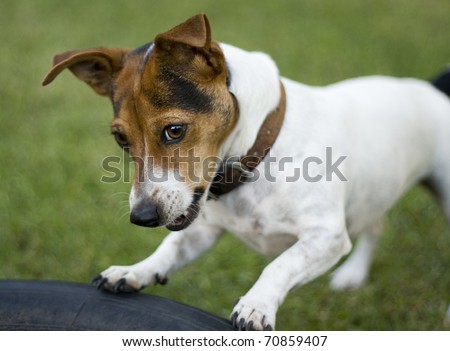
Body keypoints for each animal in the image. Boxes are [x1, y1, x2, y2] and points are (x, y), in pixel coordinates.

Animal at [43, 13, 450, 332]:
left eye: (174, 130)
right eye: (120, 139)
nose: (142, 217)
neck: (260, 152)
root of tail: (430, 89)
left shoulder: (327, 237)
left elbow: (281, 265)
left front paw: (257, 304)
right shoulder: (201, 230)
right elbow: (169, 248)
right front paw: (136, 270)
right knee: (377, 224)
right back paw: (353, 275)